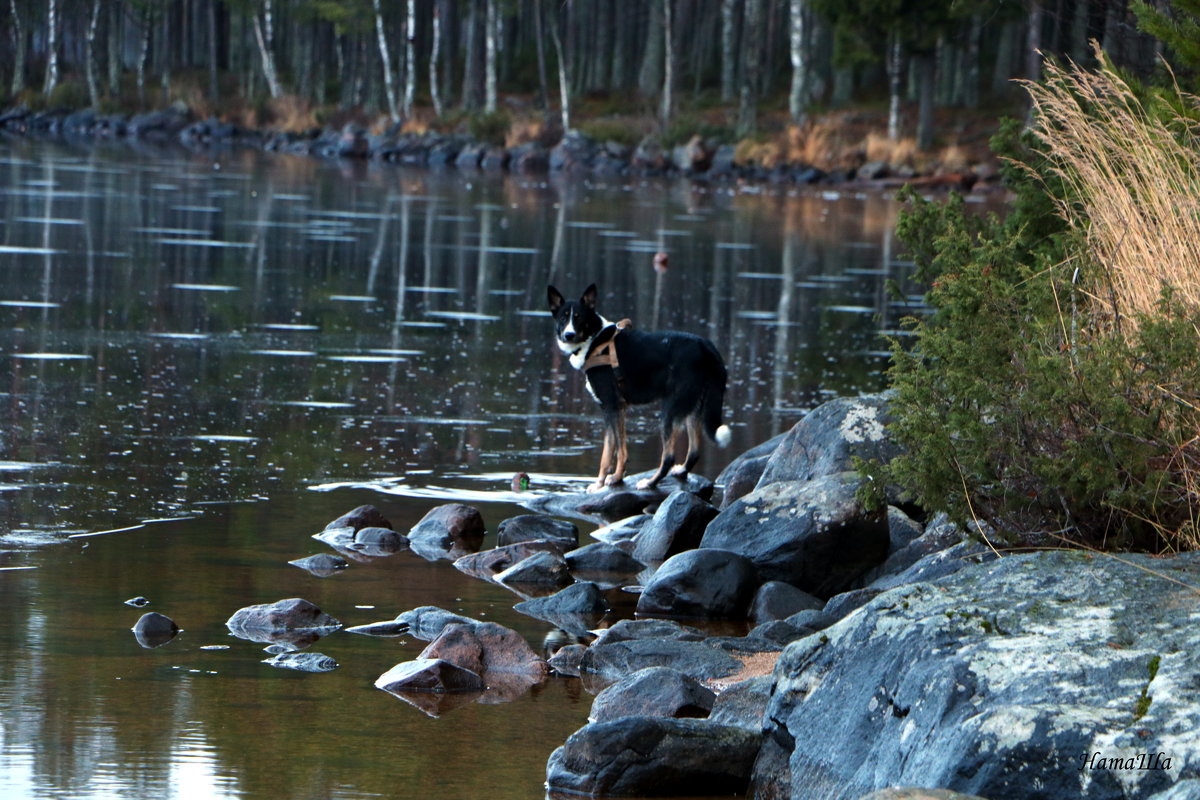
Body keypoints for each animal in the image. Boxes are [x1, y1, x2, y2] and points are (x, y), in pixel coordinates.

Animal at [549, 284, 734, 491]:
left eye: (579, 317)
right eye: (563, 318)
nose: (568, 335)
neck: (595, 340)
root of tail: (707, 347)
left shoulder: (611, 407)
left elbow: (611, 451)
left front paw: (603, 483)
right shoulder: (618, 409)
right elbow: (617, 449)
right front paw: (612, 479)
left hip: (670, 411)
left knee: (668, 457)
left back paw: (650, 482)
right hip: (692, 408)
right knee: (694, 451)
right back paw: (680, 472)